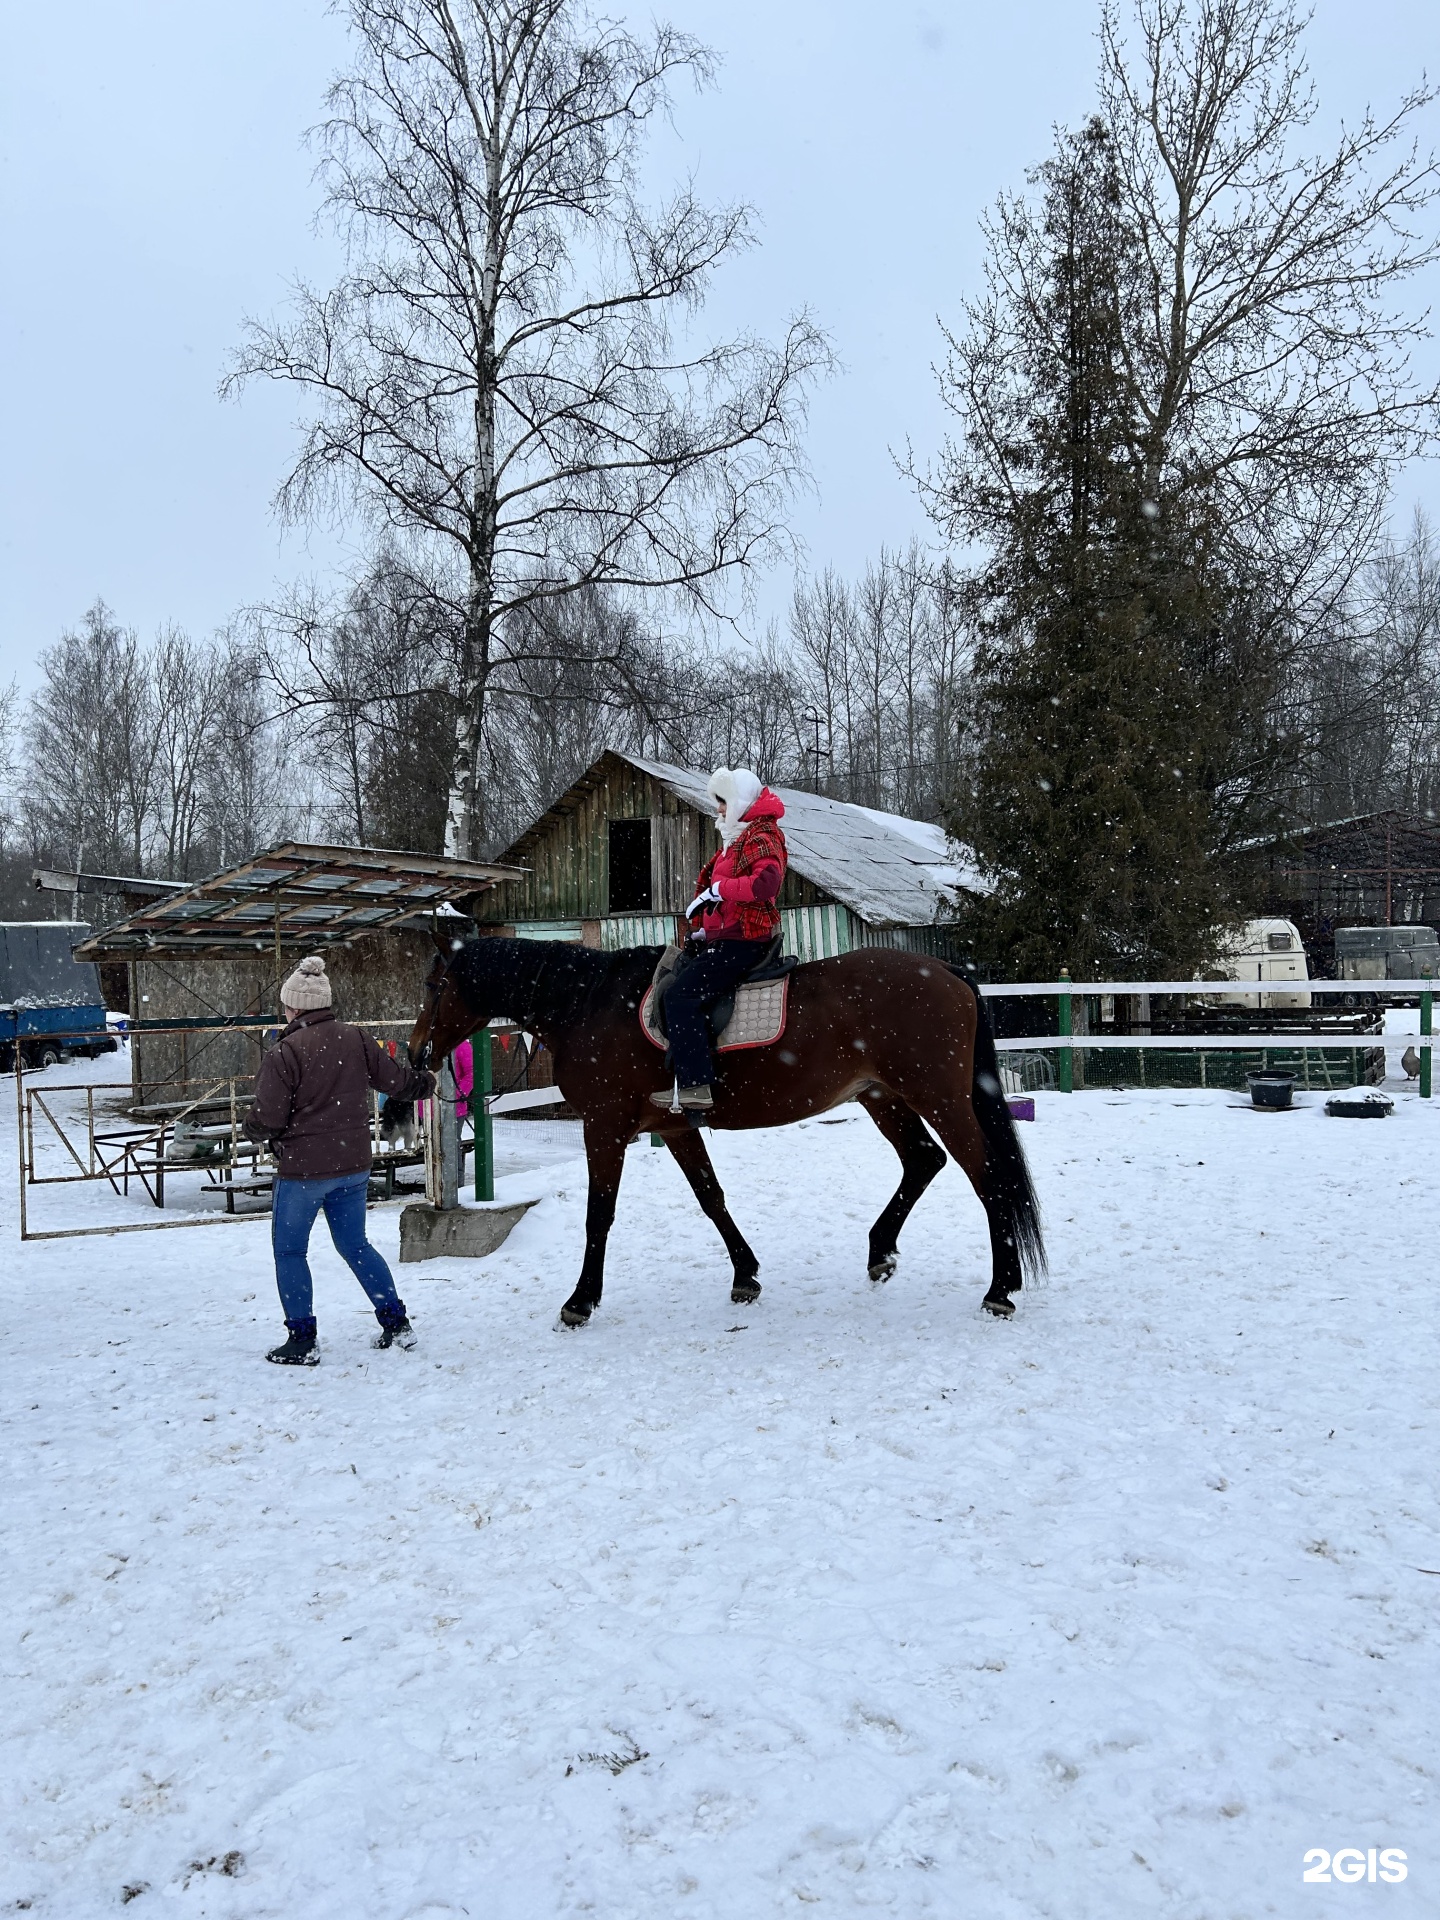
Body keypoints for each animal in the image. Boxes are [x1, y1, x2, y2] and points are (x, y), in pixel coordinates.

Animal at [407, 936, 1052, 1328]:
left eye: (434, 987)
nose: (415, 1056)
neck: (587, 1005)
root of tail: (944, 970)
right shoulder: (673, 1127)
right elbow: (711, 1197)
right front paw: (746, 1275)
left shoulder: (605, 1126)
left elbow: (600, 1215)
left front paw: (580, 1301)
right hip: (881, 1096)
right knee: (924, 1161)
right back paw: (881, 1254)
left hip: (937, 1097)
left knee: (986, 1175)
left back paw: (1001, 1288)